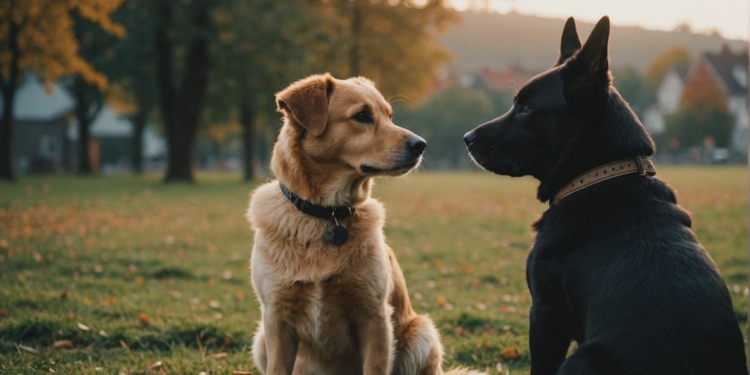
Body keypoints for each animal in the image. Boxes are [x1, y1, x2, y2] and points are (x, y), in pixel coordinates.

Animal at [247, 74, 488, 375]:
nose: (421, 144)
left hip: (422, 334)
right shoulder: (277, 319)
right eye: (362, 115)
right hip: (261, 340)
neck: (326, 216)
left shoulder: (374, 316)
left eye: (389, 116)